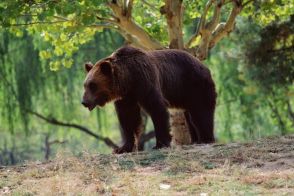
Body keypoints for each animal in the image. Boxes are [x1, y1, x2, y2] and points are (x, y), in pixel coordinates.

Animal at [81, 45, 217, 153]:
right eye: (85, 84)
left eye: (93, 85)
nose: (84, 102)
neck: (128, 79)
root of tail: (203, 65)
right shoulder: (126, 96)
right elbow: (128, 118)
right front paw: (122, 148)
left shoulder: (145, 81)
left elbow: (157, 108)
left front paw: (160, 144)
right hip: (184, 94)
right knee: (190, 115)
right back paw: (195, 140)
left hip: (195, 84)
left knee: (201, 111)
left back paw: (205, 139)